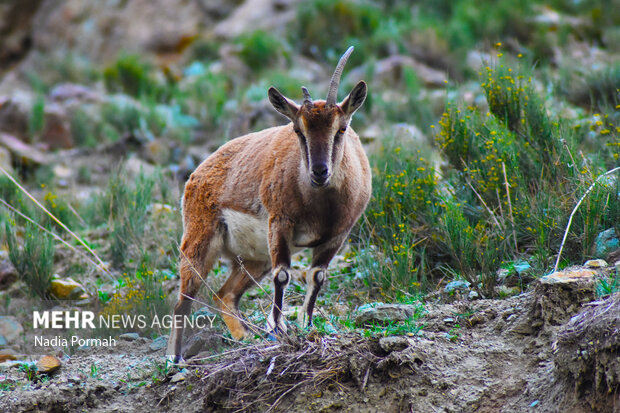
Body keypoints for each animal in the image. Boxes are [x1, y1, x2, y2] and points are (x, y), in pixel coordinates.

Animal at [165, 46, 370, 358]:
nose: (319, 172)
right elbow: (283, 275)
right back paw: (174, 359)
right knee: (184, 299)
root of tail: (195, 176)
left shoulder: (337, 236)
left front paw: (307, 326)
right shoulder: (280, 224)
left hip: (254, 259)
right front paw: (278, 329)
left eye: (342, 128)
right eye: (298, 130)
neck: (323, 207)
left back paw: (247, 337)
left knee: (225, 295)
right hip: (200, 240)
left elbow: (317, 277)